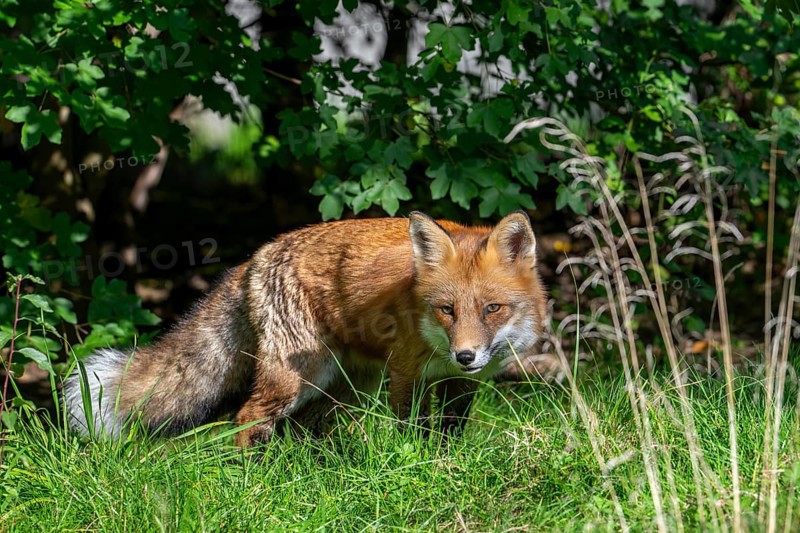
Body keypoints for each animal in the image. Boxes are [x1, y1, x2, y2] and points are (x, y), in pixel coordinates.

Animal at [63, 211, 548, 446]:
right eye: (447, 310)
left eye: (492, 309)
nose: (465, 355)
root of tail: (255, 256)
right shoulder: (405, 373)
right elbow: (410, 429)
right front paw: (415, 460)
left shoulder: (460, 383)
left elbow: (450, 431)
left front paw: (445, 461)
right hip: (300, 376)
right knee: (247, 417)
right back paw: (255, 476)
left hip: (343, 385)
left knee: (304, 428)